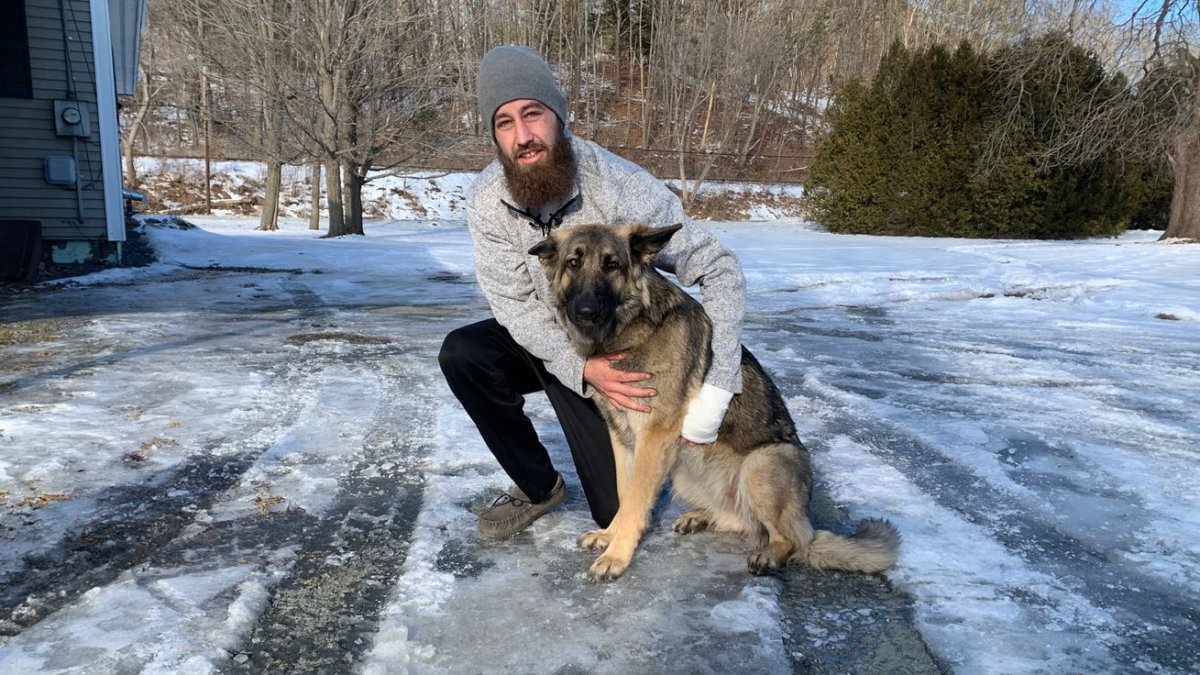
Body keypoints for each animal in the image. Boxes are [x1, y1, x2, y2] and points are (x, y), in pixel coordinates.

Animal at [530, 224, 897, 578]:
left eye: (612, 265)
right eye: (573, 263)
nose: (586, 311)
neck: (629, 330)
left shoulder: (653, 439)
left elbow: (635, 501)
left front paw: (617, 556)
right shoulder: (623, 439)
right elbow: (625, 493)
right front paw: (610, 535)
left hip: (763, 463)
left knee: (793, 540)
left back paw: (769, 555)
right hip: (687, 472)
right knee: (738, 520)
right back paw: (701, 516)